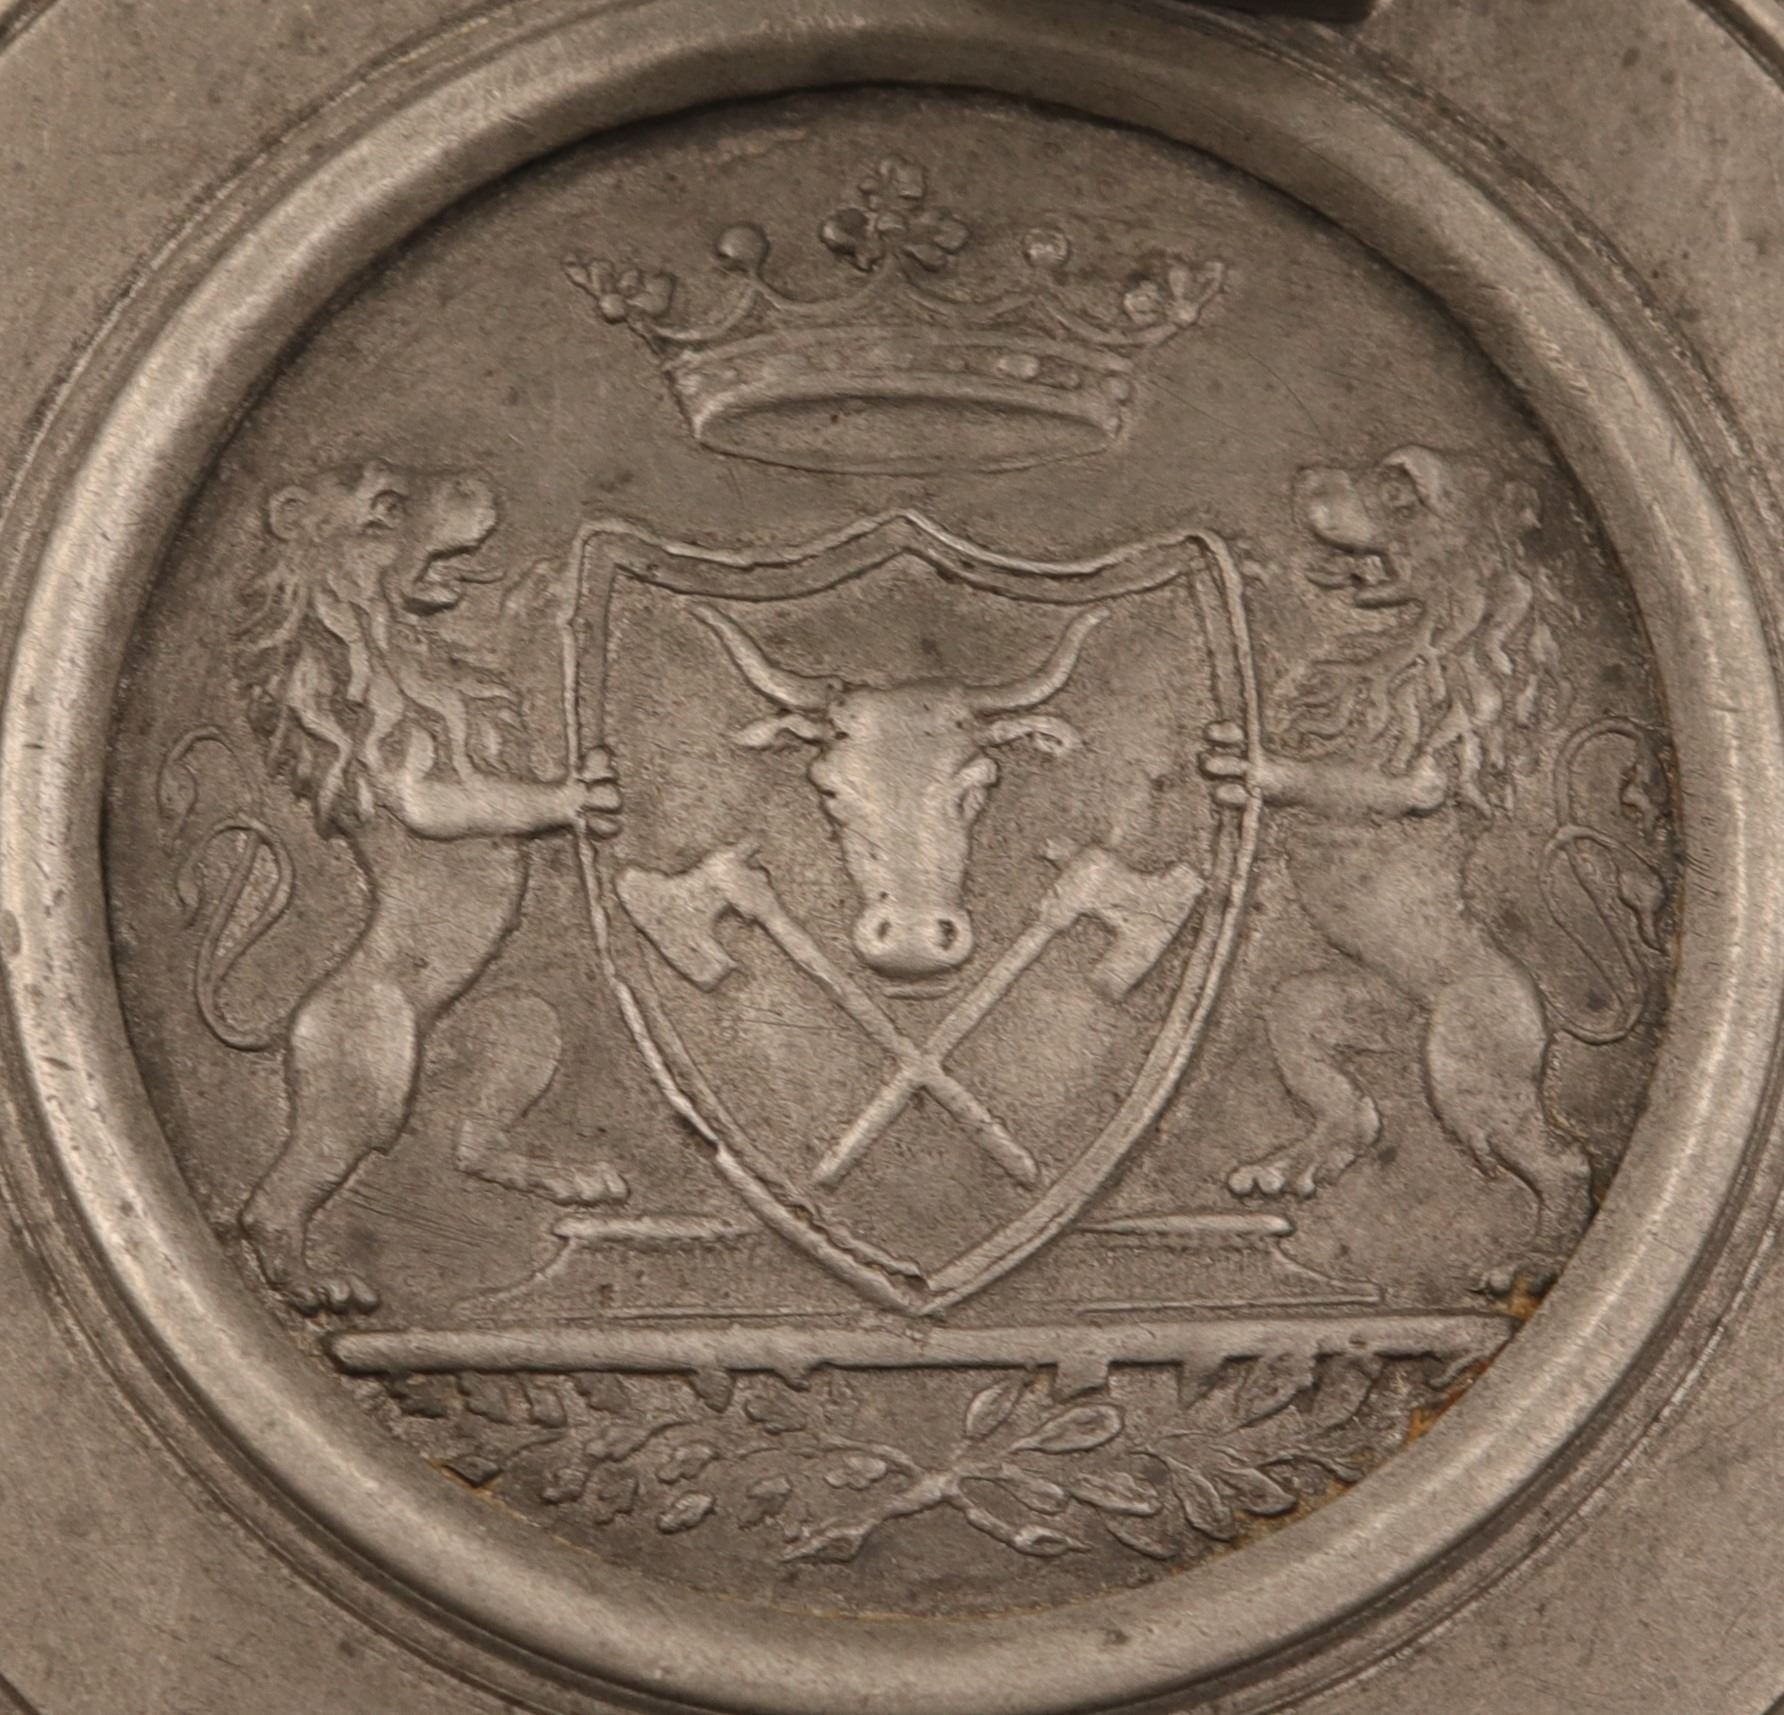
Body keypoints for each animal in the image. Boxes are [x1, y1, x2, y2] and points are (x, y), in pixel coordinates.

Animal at [179, 460, 622, 1314]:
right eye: (385, 508)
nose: (480, 489)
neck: (391, 643)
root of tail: (294, 1017)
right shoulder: (392, 767)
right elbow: (461, 798)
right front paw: (574, 793)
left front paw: (543, 586)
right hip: (368, 1069)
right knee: (278, 1192)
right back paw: (314, 1281)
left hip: (513, 1022)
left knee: (473, 1139)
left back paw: (568, 1175)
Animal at [1201, 445, 1664, 1292]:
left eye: (1399, 487)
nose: (1307, 476)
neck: (1415, 649)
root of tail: (1541, 1005)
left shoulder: (1427, 768)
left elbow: (1355, 783)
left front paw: (1255, 767)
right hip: (1362, 1010)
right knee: (1345, 1089)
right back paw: (1296, 1160)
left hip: (1466, 1061)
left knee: (1562, 1161)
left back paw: (1526, 1260)